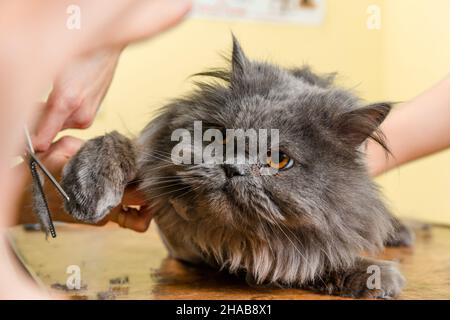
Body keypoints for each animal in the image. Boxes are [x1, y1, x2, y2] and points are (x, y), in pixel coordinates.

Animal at [61, 38, 414, 298]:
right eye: (219, 136)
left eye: (278, 160)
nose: (232, 167)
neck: (228, 238)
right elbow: (115, 143)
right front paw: (88, 190)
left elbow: (309, 257)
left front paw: (373, 275)